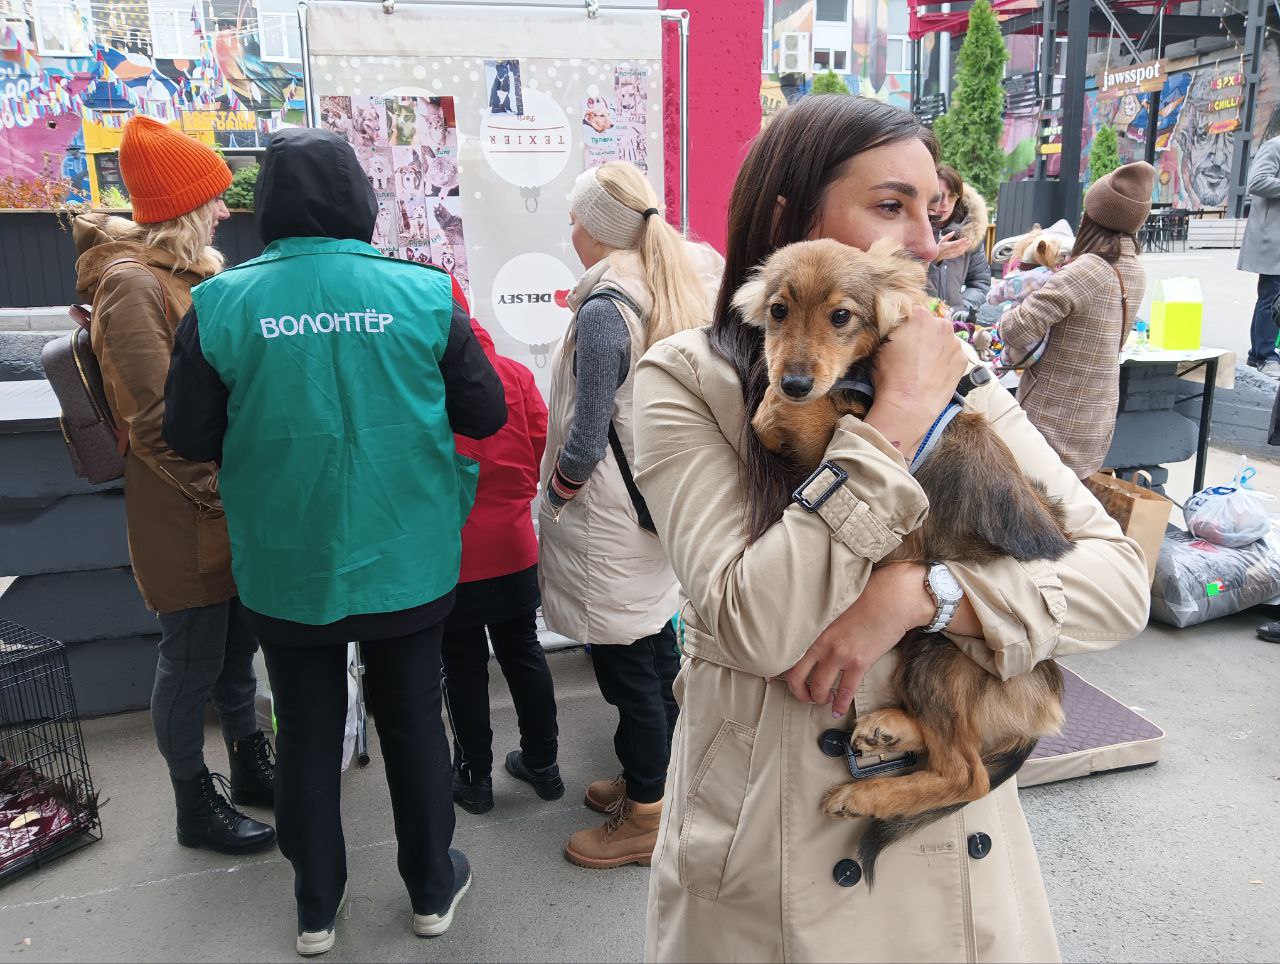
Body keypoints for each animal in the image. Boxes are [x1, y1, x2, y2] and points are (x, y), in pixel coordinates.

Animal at [732, 239, 1070, 880]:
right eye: (779, 311)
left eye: (841, 316)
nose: (794, 380)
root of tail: (1050, 705)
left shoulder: (846, 441)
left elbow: (787, 417)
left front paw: (777, 408)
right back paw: (890, 731)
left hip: (941, 653)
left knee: (968, 773)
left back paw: (863, 795)